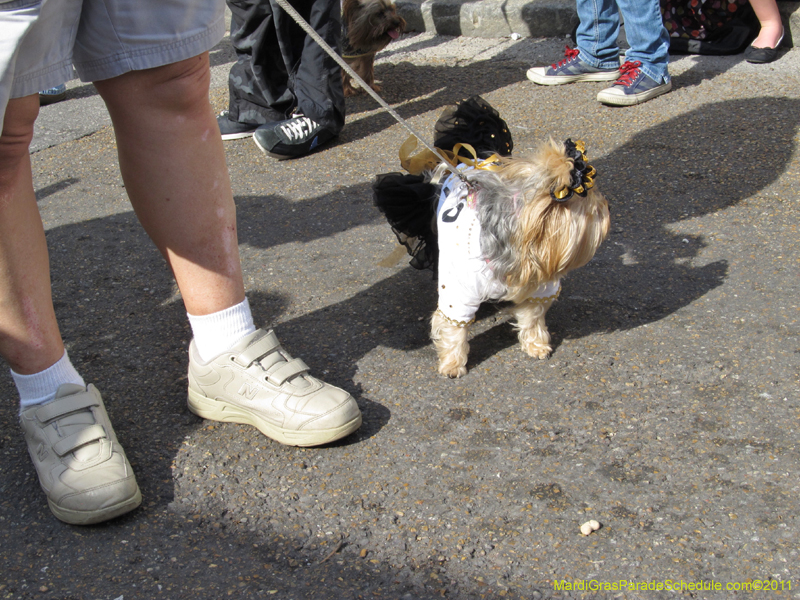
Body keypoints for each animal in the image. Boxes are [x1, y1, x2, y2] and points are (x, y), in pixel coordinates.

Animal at [372, 96, 608, 378]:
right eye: (592, 207)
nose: (605, 206)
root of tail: (463, 159)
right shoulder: (459, 291)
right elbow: (453, 328)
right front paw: (453, 363)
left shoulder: (539, 280)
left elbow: (532, 315)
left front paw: (536, 344)